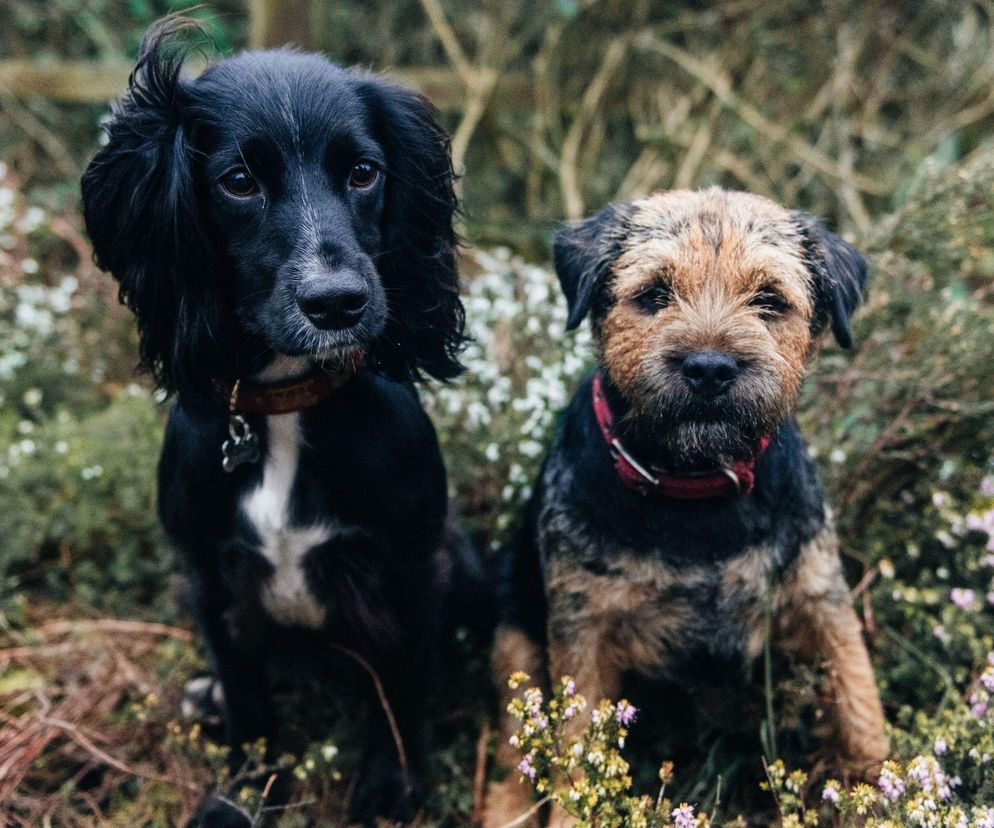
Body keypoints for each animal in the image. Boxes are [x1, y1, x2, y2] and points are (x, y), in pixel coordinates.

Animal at [80, 19, 464, 828]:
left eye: (363, 172)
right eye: (238, 181)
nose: (338, 302)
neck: (288, 407)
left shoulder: (408, 568)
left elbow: (396, 693)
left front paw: (392, 787)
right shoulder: (211, 579)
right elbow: (251, 707)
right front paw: (243, 796)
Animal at [484, 191, 888, 824]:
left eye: (770, 300)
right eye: (654, 294)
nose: (710, 368)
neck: (695, 485)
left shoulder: (822, 600)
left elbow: (858, 702)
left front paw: (885, 788)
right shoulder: (583, 632)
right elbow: (575, 745)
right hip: (513, 636)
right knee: (509, 740)